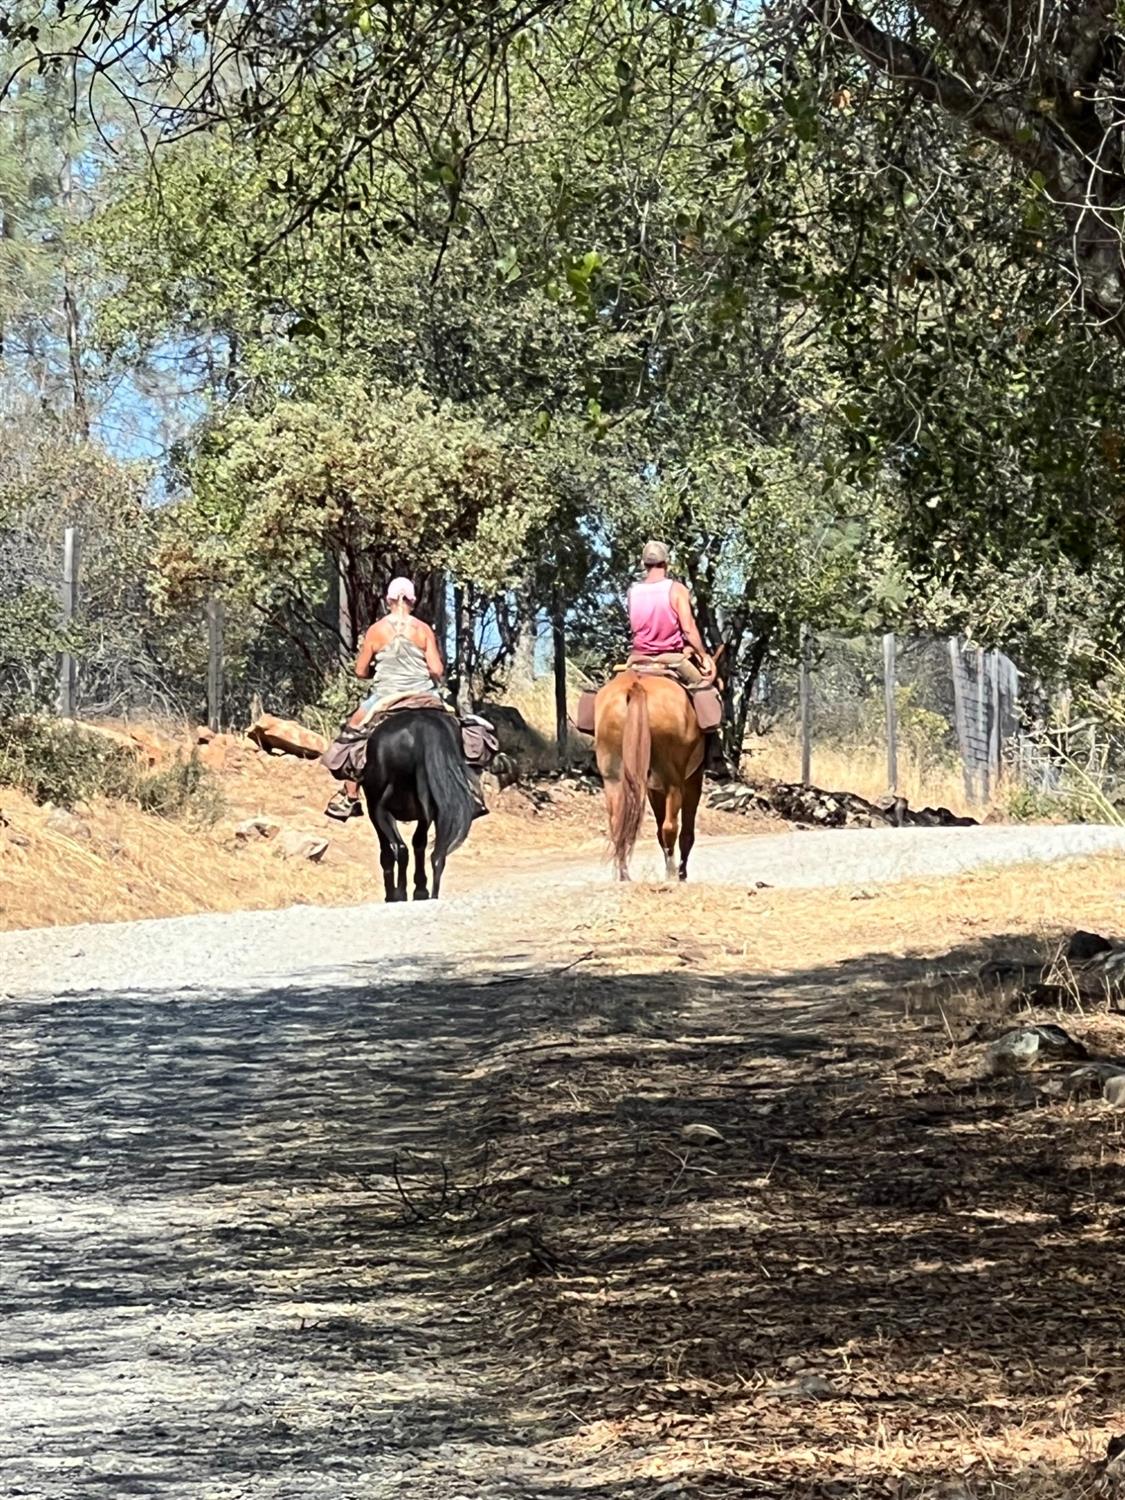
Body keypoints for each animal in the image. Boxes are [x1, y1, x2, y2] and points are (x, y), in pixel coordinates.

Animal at [361, 705, 477, 900]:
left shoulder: (376, 811)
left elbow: (391, 851)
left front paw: (395, 894)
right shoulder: (425, 813)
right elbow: (419, 844)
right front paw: (420, 889)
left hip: (381, 809)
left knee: (401, 848)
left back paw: (400, 893)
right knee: (437, 854)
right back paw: (432, 894)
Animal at [591, 669, 705, 876]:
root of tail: (636, 686)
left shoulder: (654, 788)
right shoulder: (693, 779)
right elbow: (686, 833)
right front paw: (682, 874)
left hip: (613, 778)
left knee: (618, 824)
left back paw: (625, 875)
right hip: (673, 782)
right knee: (670, 827)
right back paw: (671, 873)